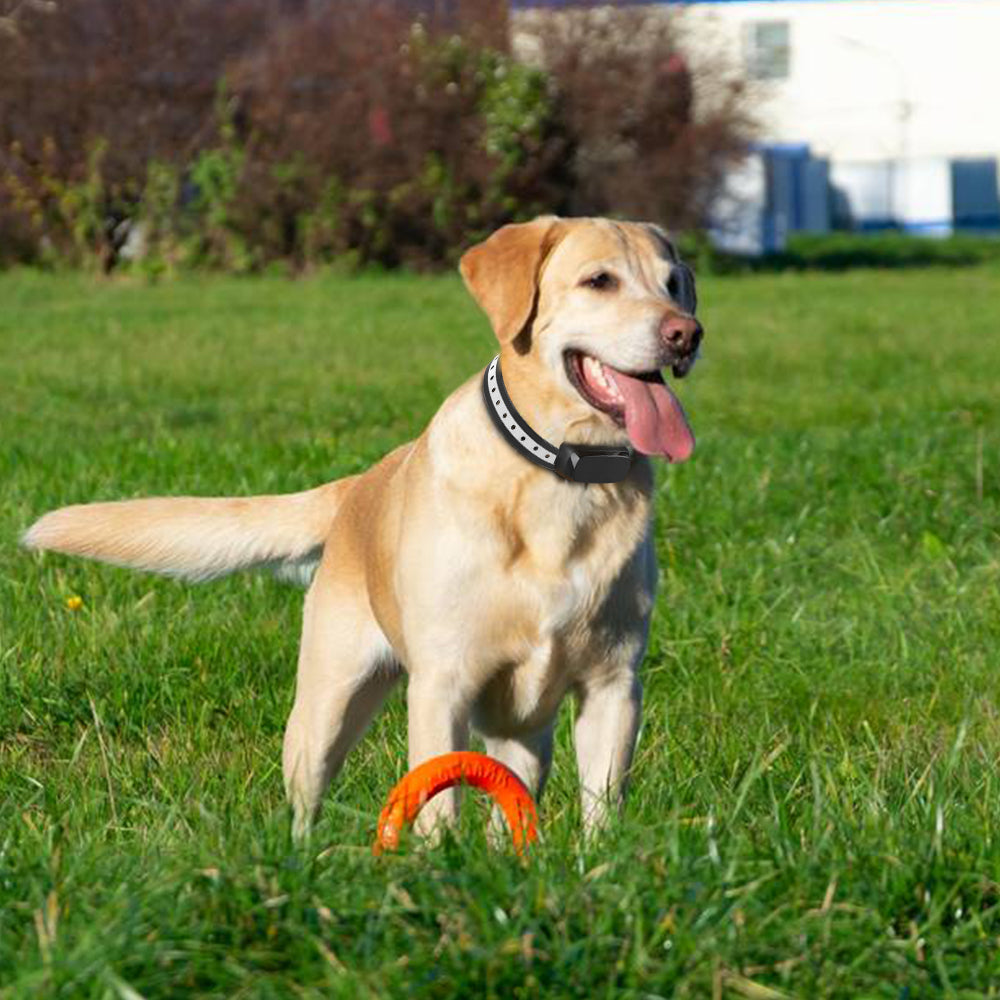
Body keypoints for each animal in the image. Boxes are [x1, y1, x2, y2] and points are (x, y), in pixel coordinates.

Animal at [23, 215, 704, 840]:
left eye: (674, 283)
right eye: (599, 281)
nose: (685, 334)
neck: (561, 478)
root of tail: (355, 488)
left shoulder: (614, 684)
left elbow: (601, 808)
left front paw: (595, 866)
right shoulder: (443, 683)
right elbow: (438, 805)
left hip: (522, 728)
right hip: (328, 700)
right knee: (306, 797)